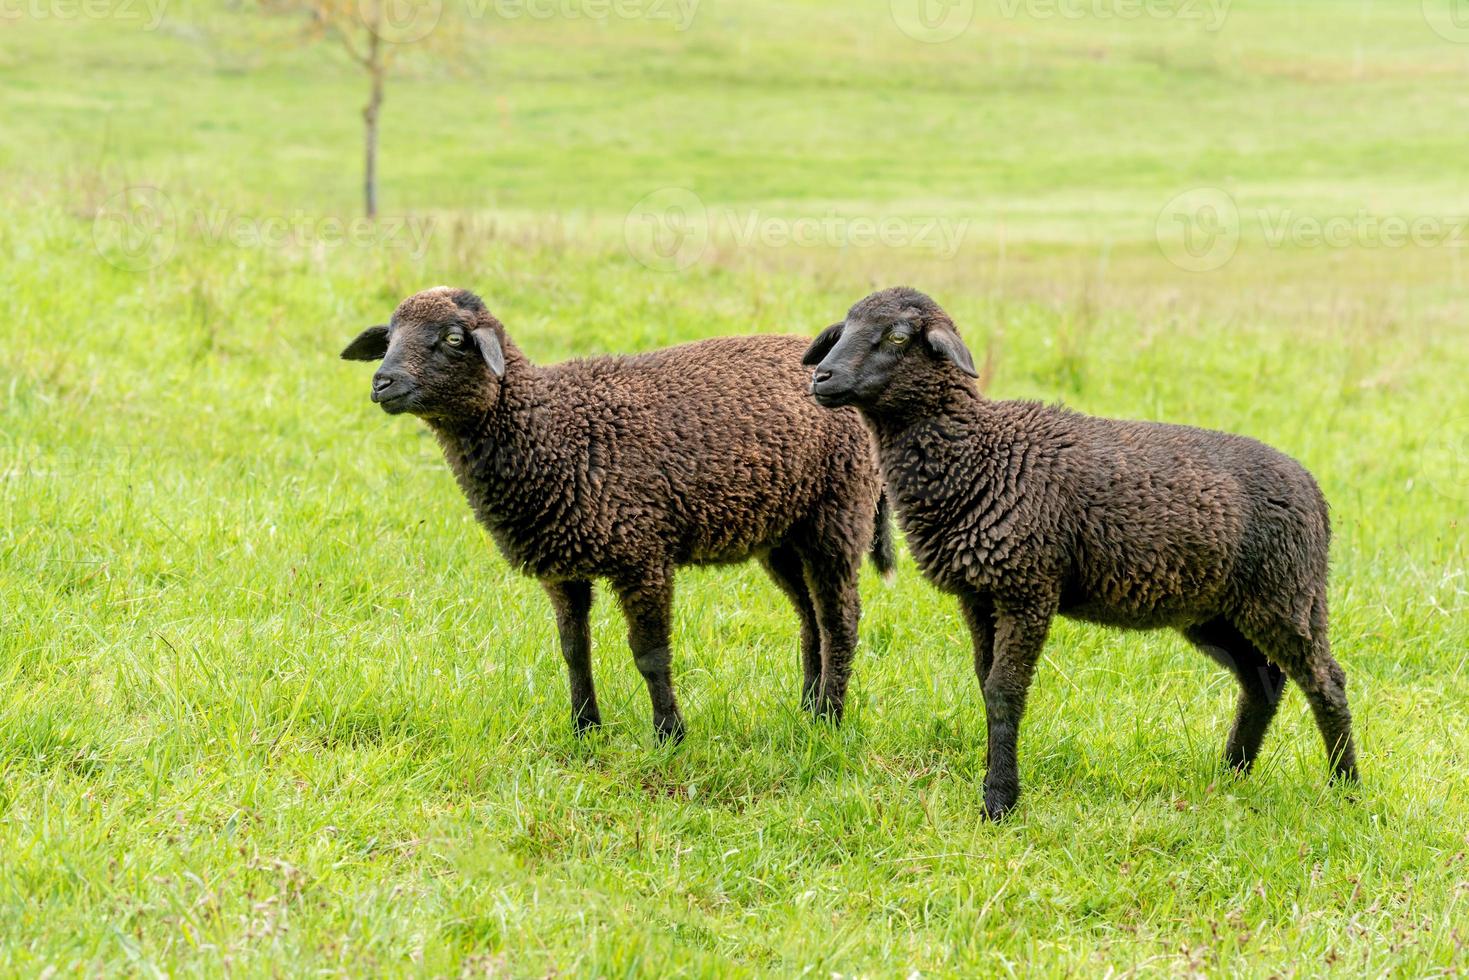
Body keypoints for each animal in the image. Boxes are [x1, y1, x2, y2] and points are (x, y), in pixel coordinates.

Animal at [339, 287, 887, 740]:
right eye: (388, 338)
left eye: (452, 338)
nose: (382, 382)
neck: (548, 428)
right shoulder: (562, 568)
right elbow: (573, 651)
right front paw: (585, 729)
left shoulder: (642, 555)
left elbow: (650, 655)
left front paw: (669, 735)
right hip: (784, 534)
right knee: (810, 620)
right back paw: (808, 709)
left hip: (838, 514)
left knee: (840, 620)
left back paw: (830, 719)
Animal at [810, 285, 1357, 822]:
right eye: (843, 328)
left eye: (898, 336)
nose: (821, 376)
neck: (980, 454)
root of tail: (1314, 491)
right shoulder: (980, 595)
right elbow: (985, 683)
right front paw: (994, 788)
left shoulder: (1028, 590)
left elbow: (1005, 691)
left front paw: (999, 802)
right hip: (1218, 611)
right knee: (1262, 681)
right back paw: (1231, 775)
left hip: (1284, 597)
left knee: (1326, 680)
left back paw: (1346, 788)